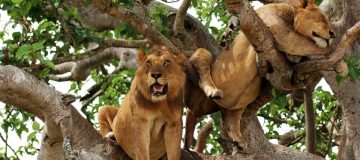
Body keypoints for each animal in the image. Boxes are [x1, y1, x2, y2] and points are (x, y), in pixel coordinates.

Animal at [186, 0, 338, 150]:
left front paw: (295, 58)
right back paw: (212, 90)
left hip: (236, 105)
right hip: (203, 56)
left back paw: (237, 139)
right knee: (201, 70)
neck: (291, 13)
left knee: (231, 117)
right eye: (322, 19)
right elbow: (308, 45)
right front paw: (338, 56)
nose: (333, 34)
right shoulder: (276, 27)